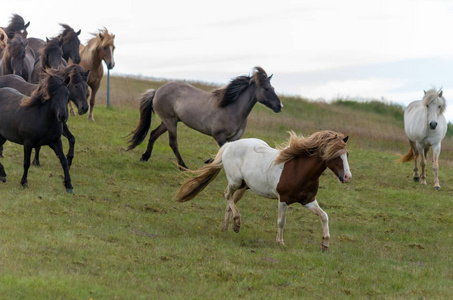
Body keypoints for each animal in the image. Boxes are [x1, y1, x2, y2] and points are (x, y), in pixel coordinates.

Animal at [128, 66, 282, 169]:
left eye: (273, 88)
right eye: (266, 89)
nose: (280, 106)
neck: (232, 108)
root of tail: (157, 90)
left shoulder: (234, 138)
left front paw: (208, 161)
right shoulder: (219, 135)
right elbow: (222, 152)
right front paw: (209, 163)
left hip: (168, 121)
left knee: (153, 134)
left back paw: (145, 157)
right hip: (170, 121)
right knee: (173, 143)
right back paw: (183, 166)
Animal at [175, 131, 352, 251]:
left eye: (347, 154)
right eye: (335, 155)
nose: (347, 177)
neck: (299, 170)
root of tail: (229, 145)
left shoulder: (308, 200)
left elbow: (324, 216)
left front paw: (325, 244)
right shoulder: (284, 199)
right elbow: (281, 221)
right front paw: (280, 242)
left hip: (243, 186)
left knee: (229, 202)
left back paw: (226, 228)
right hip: (235, 181)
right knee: (226, 195)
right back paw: (237, 223)